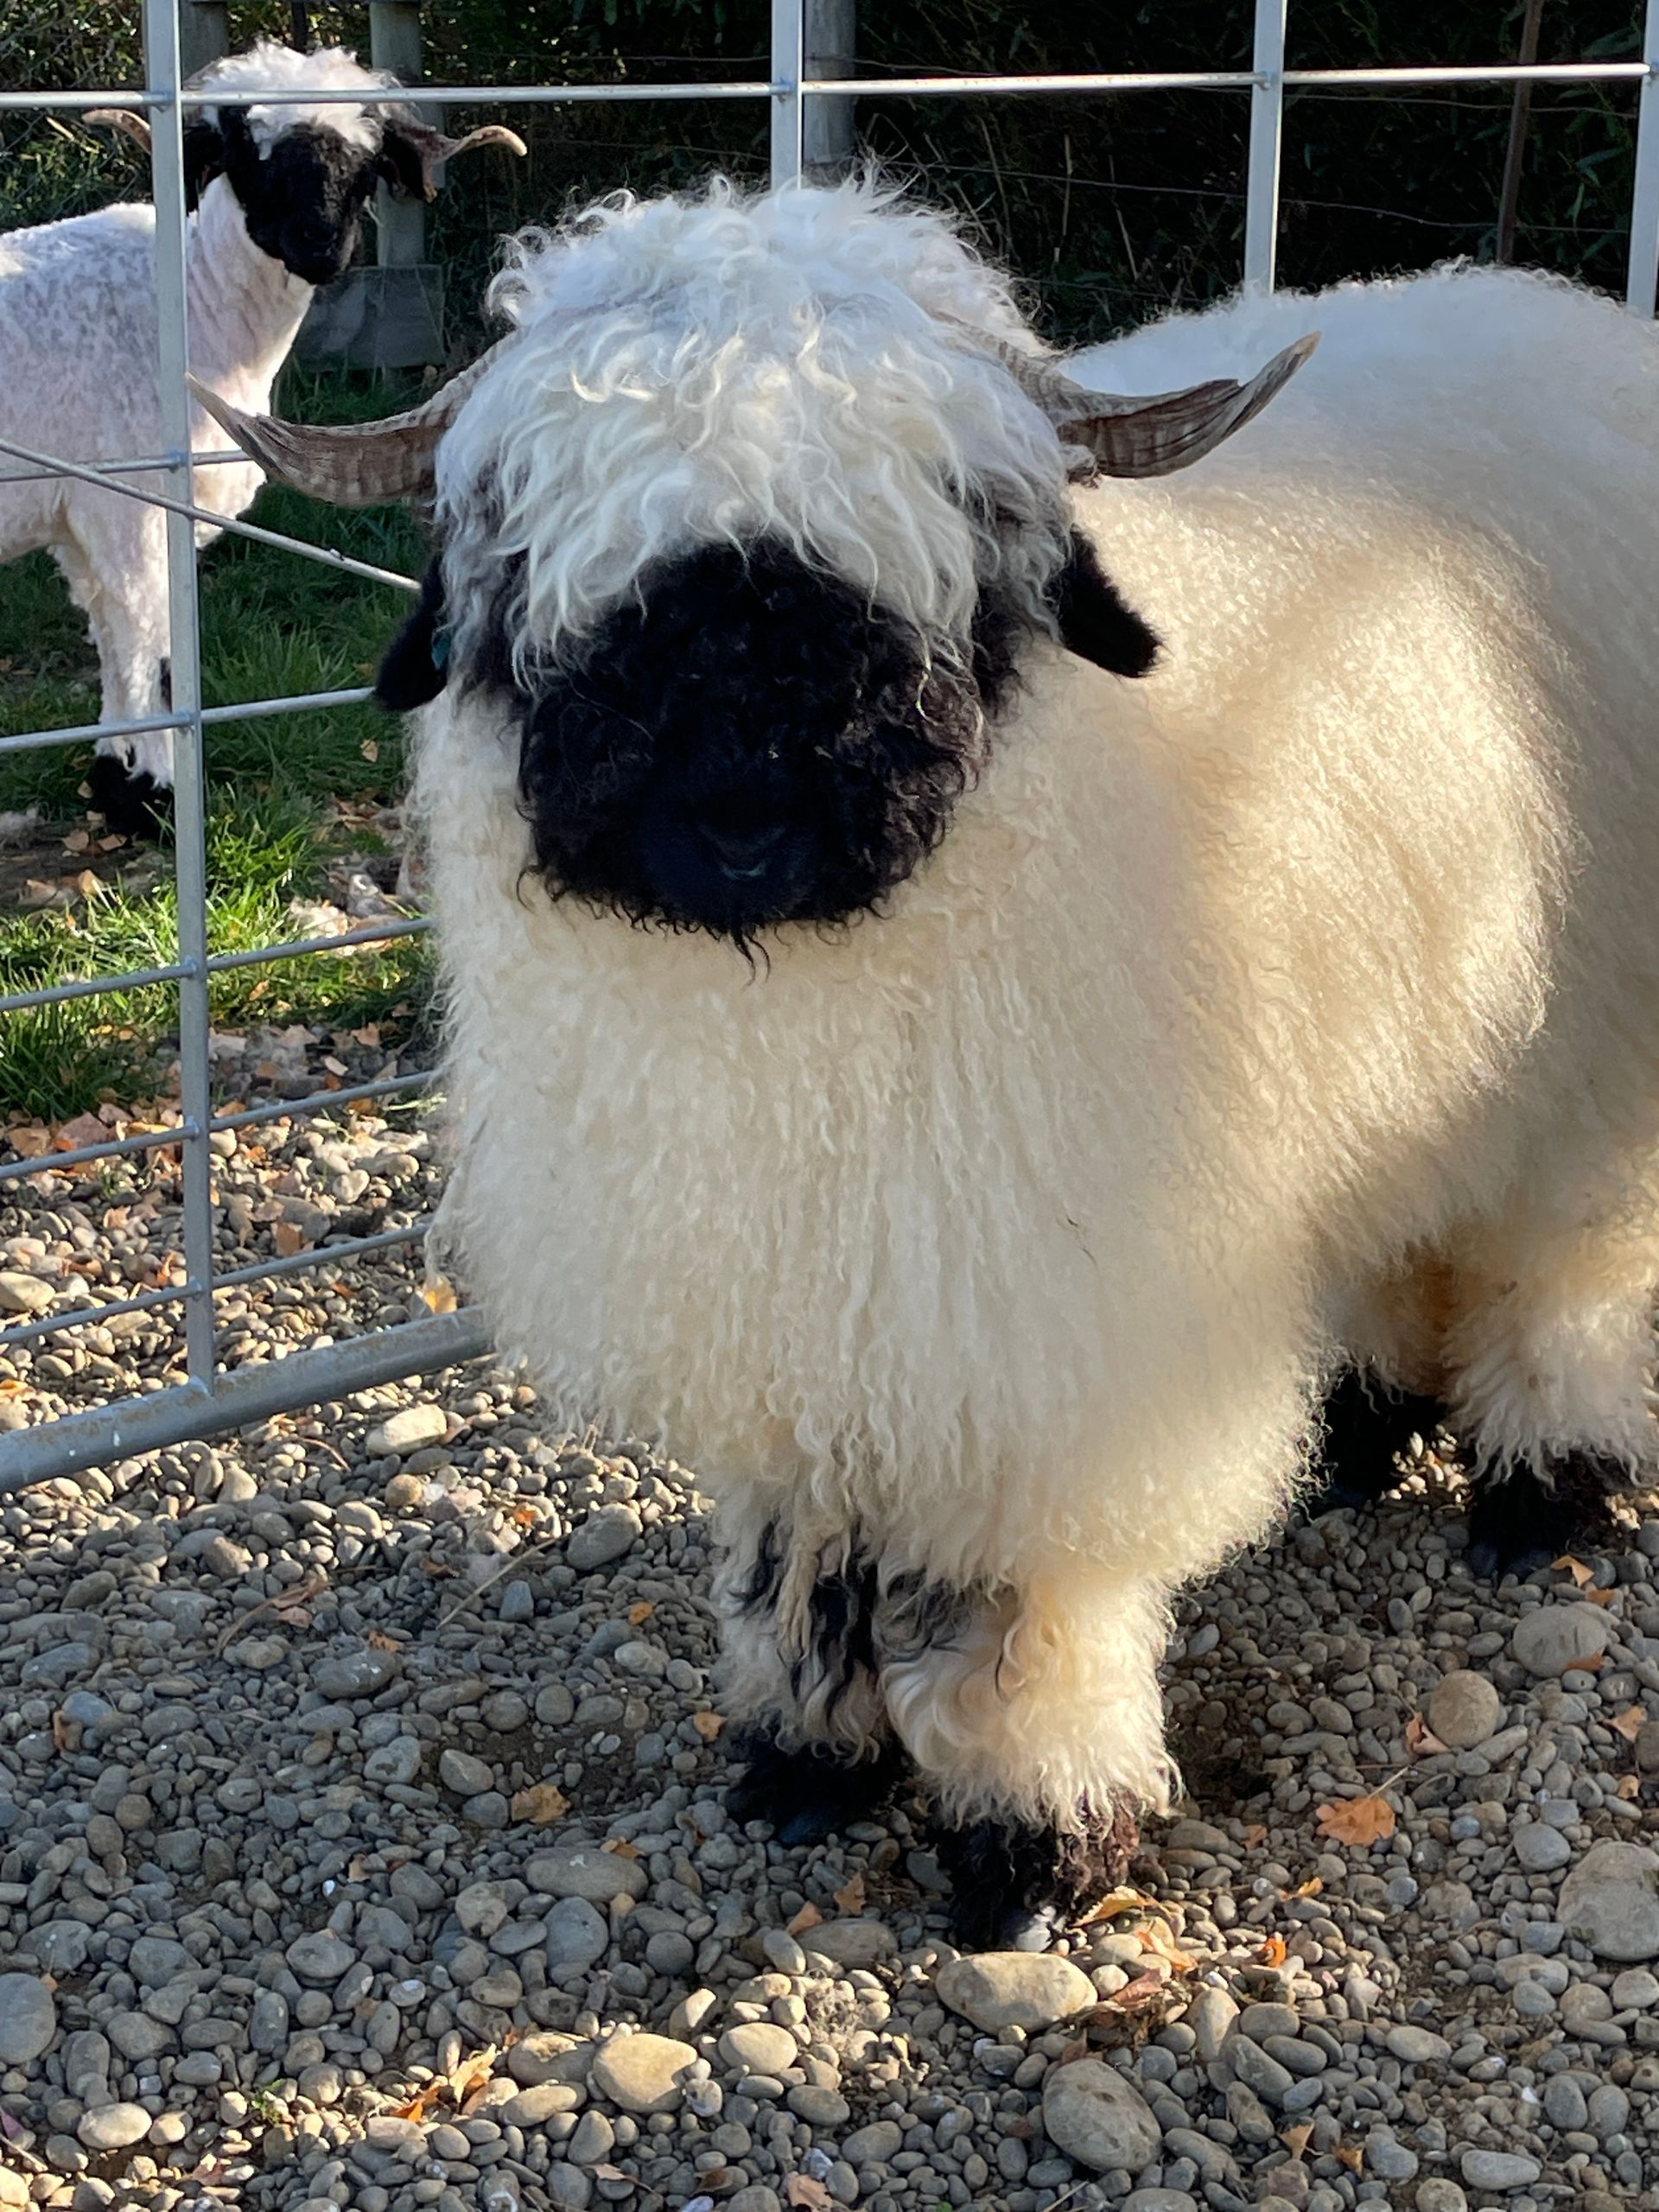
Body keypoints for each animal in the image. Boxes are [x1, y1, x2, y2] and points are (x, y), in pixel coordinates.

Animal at [0, 42, 519, 836]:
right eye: (249, 150)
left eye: (368, 158)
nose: (322, 246)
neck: (193, 304)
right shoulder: (128, 509)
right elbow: (146, 639)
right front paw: (147, 791)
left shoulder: (80, 522)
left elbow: (110, 637)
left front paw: (112, 771)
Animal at [200, 186, 1659, 1955]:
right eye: (548, 558)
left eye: (937, 538)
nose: (741, 809)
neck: (802, 1014)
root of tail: (1555, 312)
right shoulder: (807, 1332)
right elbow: (796, 1564)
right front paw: (805, 1764)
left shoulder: (1039, 1358)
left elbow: (1013, 1620)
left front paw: (1036, 1842)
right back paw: (1368, 1432)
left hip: (1591, 1055)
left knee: (1565, 1262)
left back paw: (1539, 1494)